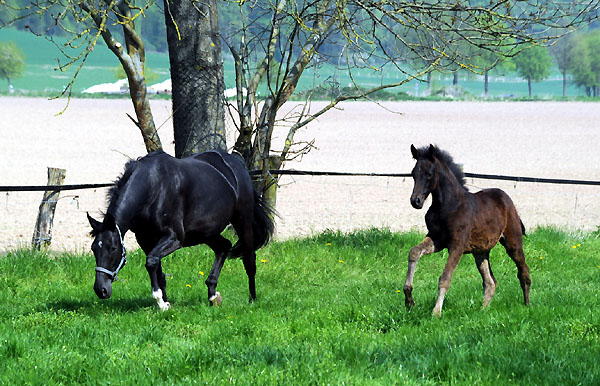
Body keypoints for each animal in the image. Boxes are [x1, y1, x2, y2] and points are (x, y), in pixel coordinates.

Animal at [86, 150, 274, 310]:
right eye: (94, 248)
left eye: (113, 248)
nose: (101, 290)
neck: (154, 186)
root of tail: (237, 164)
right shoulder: (146, 239)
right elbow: (157, 269)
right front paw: (165, 302)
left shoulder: (174, 238)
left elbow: (151, 261)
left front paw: (160, 302)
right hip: (205, 233)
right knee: (224, 247)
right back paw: (213, 296)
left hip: (242, 221)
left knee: (249, 261)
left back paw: (252, 300)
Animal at [406, 145, 532, 316]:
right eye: (413, 173)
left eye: (429, 174)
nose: (416, 201)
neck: (447, 205)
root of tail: (507, 199)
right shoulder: (436, 239)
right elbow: (414, 252)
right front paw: (409, 301)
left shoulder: (457, 244)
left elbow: (445, 278)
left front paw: (436, 313)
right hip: (480, 251)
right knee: (490, 281)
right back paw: (483, 310)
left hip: (513, 243)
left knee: (523, 272)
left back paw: (527, 305)